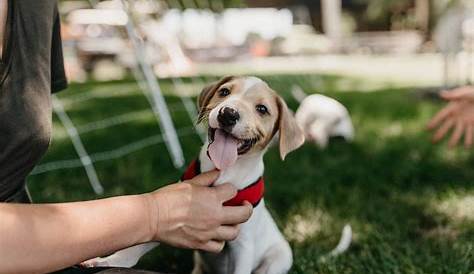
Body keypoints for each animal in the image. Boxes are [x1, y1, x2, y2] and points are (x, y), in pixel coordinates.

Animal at [81, 75, 304, 274]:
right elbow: (136, 247)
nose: (228, 113)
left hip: (278, 258)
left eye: (262, 109)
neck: (224, 172)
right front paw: (107, 261)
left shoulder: (243, 244)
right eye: (224, 92)